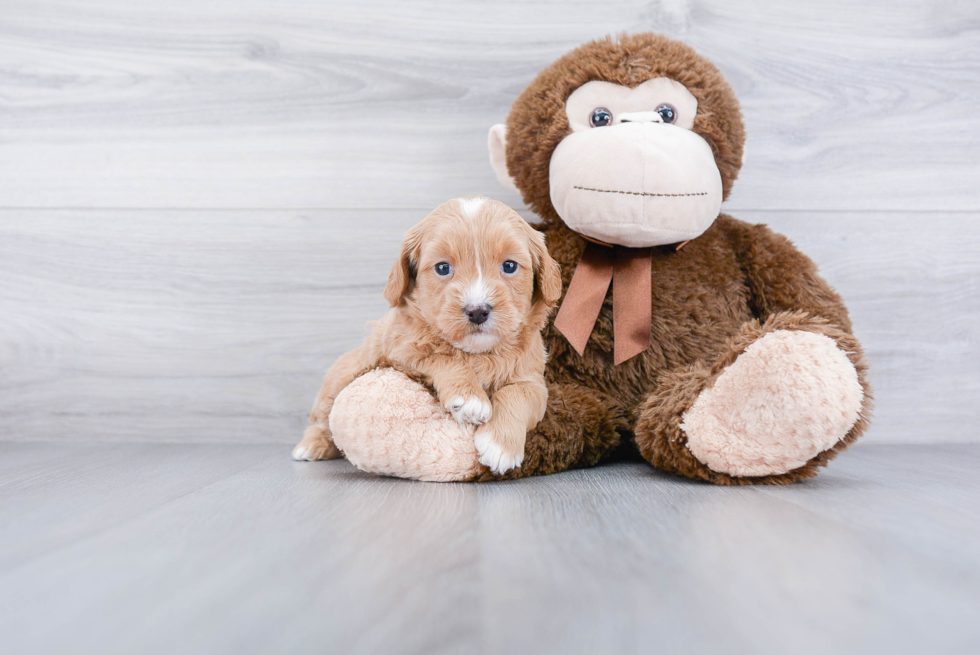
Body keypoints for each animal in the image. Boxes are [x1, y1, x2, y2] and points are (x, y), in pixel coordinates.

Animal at [292, 197, 560, 474]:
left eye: (509, 266)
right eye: (442, 268)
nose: (477, 311)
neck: (478, 353)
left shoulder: (534, 381)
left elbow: (519, 394)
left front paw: (500, 446)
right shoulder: (402, 352)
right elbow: (443, 358)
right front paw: (469, 399)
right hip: (336, 382)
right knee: (323, 422)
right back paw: (311, 446)